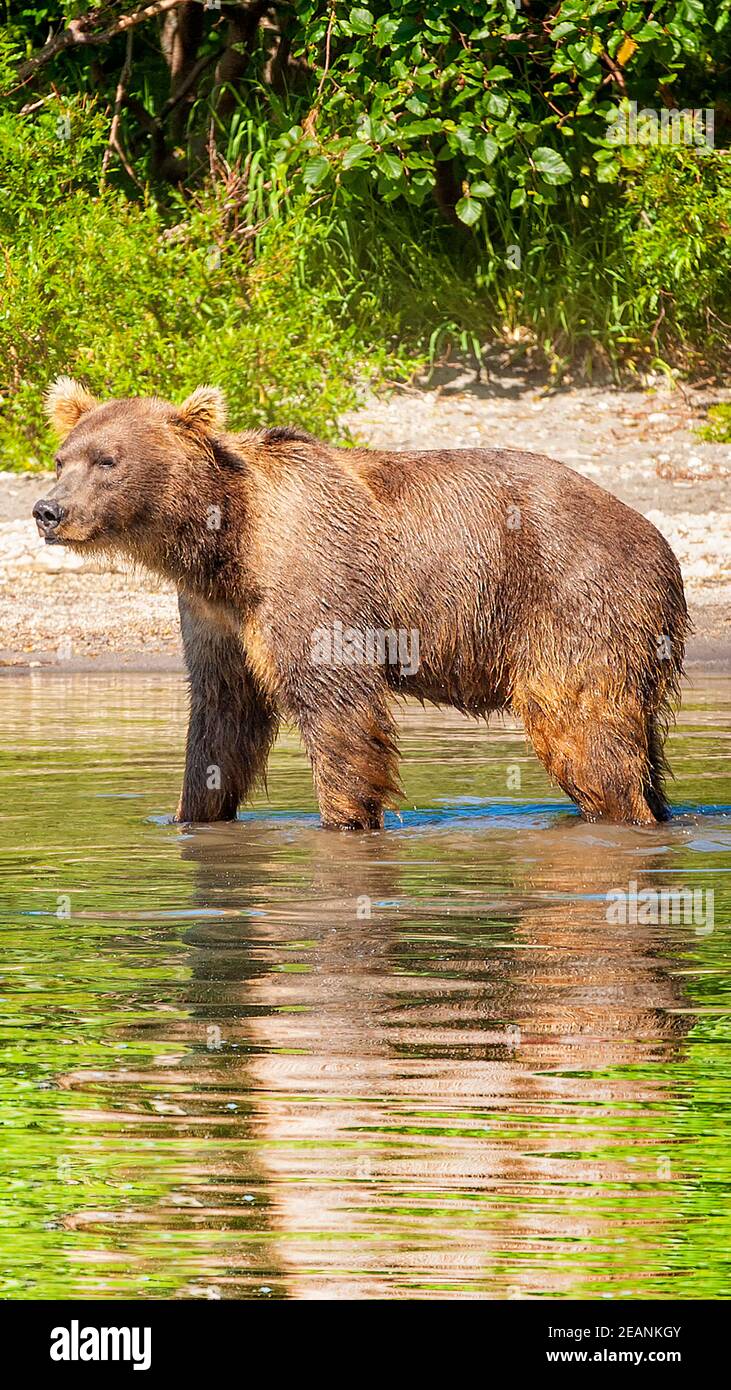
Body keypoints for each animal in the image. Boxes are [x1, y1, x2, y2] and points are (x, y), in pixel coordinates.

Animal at [34, 378, 692, 822]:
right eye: (62, 458)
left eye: (107, 461)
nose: (48, 510)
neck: (224, 541)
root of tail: (660, 542)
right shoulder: (215, 616)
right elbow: (221, 720)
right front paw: (190, 814)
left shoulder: (311, 580)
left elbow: (338, 710)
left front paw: (346, 816)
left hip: (572, 600)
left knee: (582, 729)